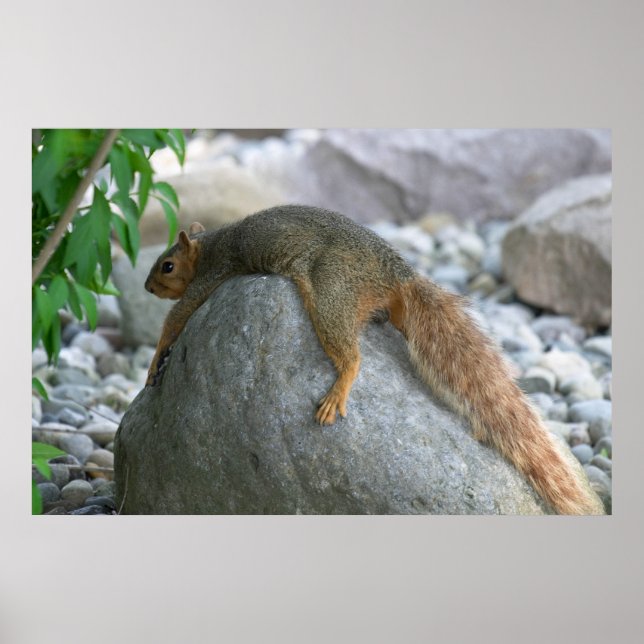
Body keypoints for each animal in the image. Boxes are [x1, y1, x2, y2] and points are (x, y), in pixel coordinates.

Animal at [144, 204, 604, 515]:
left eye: (166, 265)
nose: (147, 288)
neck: (210, 245)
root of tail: (396, 275)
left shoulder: (210, 276)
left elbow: (178, 316)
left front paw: (154, 361)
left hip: (331, 291)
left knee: (351, 354)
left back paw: (339, 388)